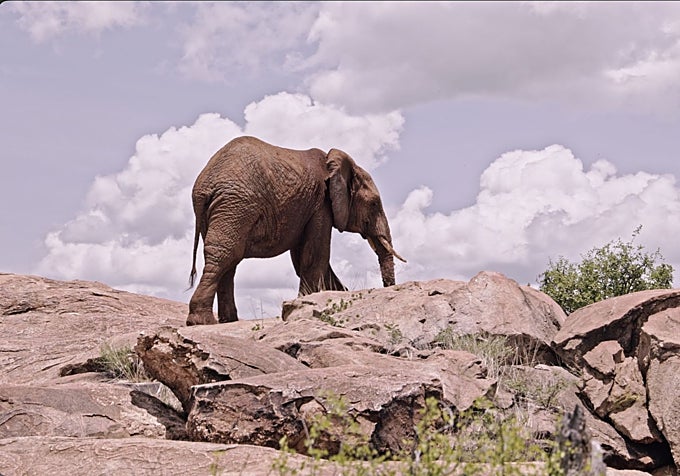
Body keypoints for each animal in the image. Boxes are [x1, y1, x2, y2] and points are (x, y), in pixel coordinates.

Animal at [186, 136, 405, 325]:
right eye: (374, 204)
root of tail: (204, 187)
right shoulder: (321, 203)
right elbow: (315, 254)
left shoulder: (305, 207)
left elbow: (302, 257)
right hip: (237, 206)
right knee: (226, 255)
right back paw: (202, 322)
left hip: (222, 210)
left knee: (228, 261)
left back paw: (227, 321)